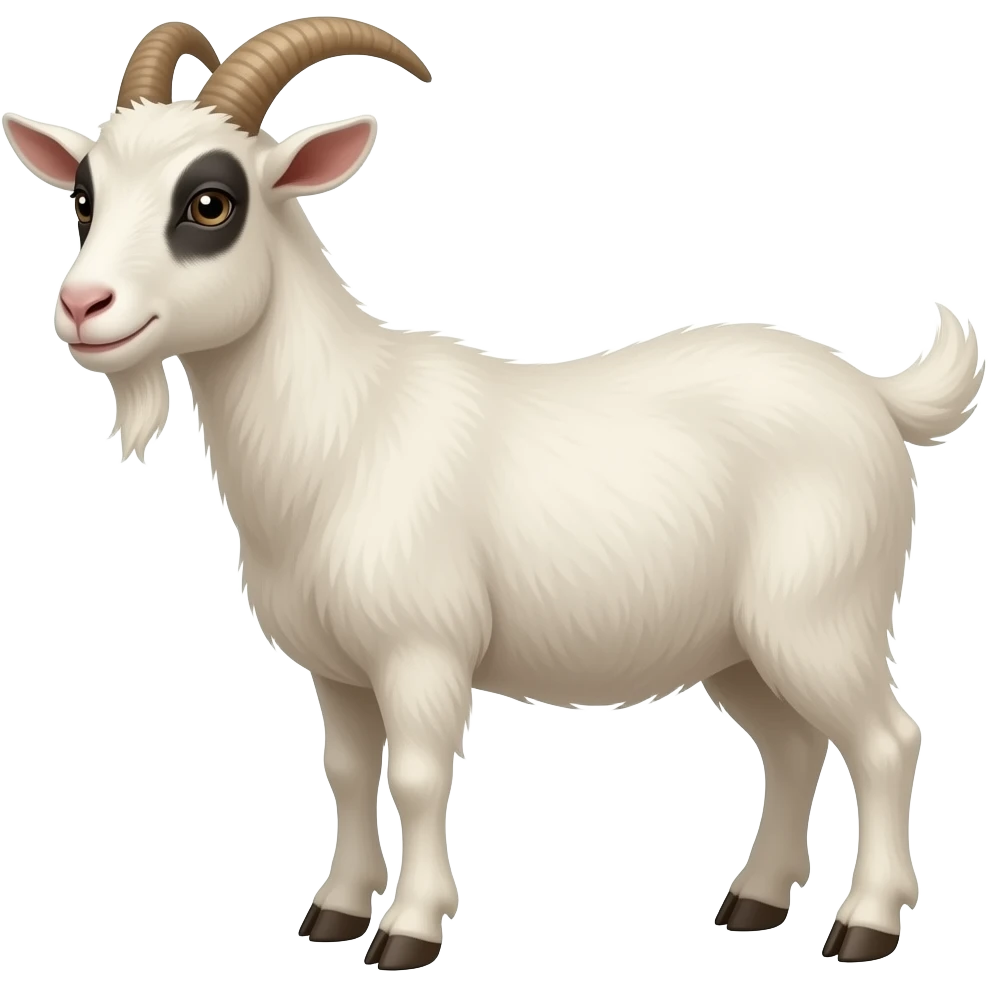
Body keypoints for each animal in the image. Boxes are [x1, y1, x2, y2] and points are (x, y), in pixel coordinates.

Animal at [2, 17, 983, 970]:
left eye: (211, 202)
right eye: (85, 195)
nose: (82, 307)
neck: (344, 428)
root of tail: (874, 395)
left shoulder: (422, 650)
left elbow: (418, 776)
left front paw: (408, 932)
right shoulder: (337, 668)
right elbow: (348, 773)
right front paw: (334, 913)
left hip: (821, 614)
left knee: (887, 741)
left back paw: (866, 926)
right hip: (740, 643)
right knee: (793, 745)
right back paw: (754, 902)